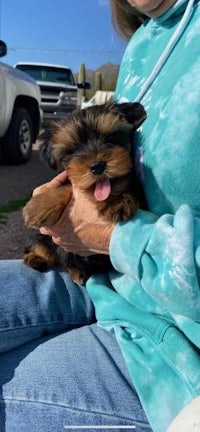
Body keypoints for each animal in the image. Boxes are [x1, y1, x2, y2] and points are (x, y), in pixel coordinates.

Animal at [22, 101, 146, 284]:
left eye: (110, 138)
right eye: (72, 151)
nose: (97, 166)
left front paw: (117, 200)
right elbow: (67, 186)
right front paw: (39, 206)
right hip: (45, 238)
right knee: (43, 246)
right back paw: (38, 258)